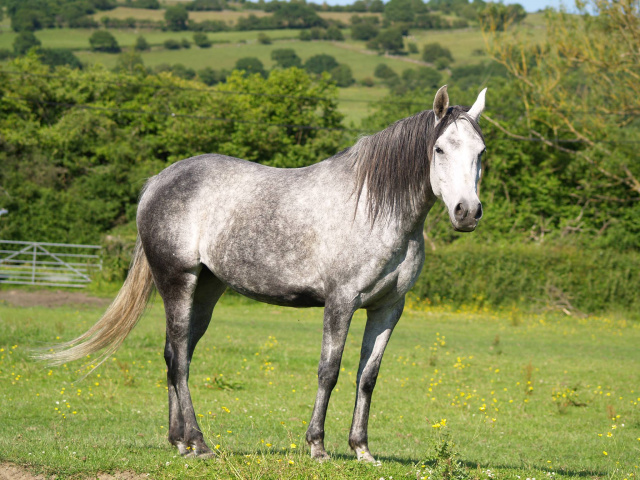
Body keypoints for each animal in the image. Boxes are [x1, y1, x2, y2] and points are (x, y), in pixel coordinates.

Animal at [41, 85, 484, 462]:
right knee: (179, 359)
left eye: (481, 151)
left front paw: (361, 449)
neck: (376, 209)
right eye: (440, 148)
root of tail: (157, 182)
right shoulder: (341, 302)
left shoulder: (388, 308)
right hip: (177, 283)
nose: (467, 212)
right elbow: (329, 371)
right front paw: (317, 446)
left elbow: (367, 377)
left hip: (206, 291)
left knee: (174, 354)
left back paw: (180, 442)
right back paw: (199, 443)